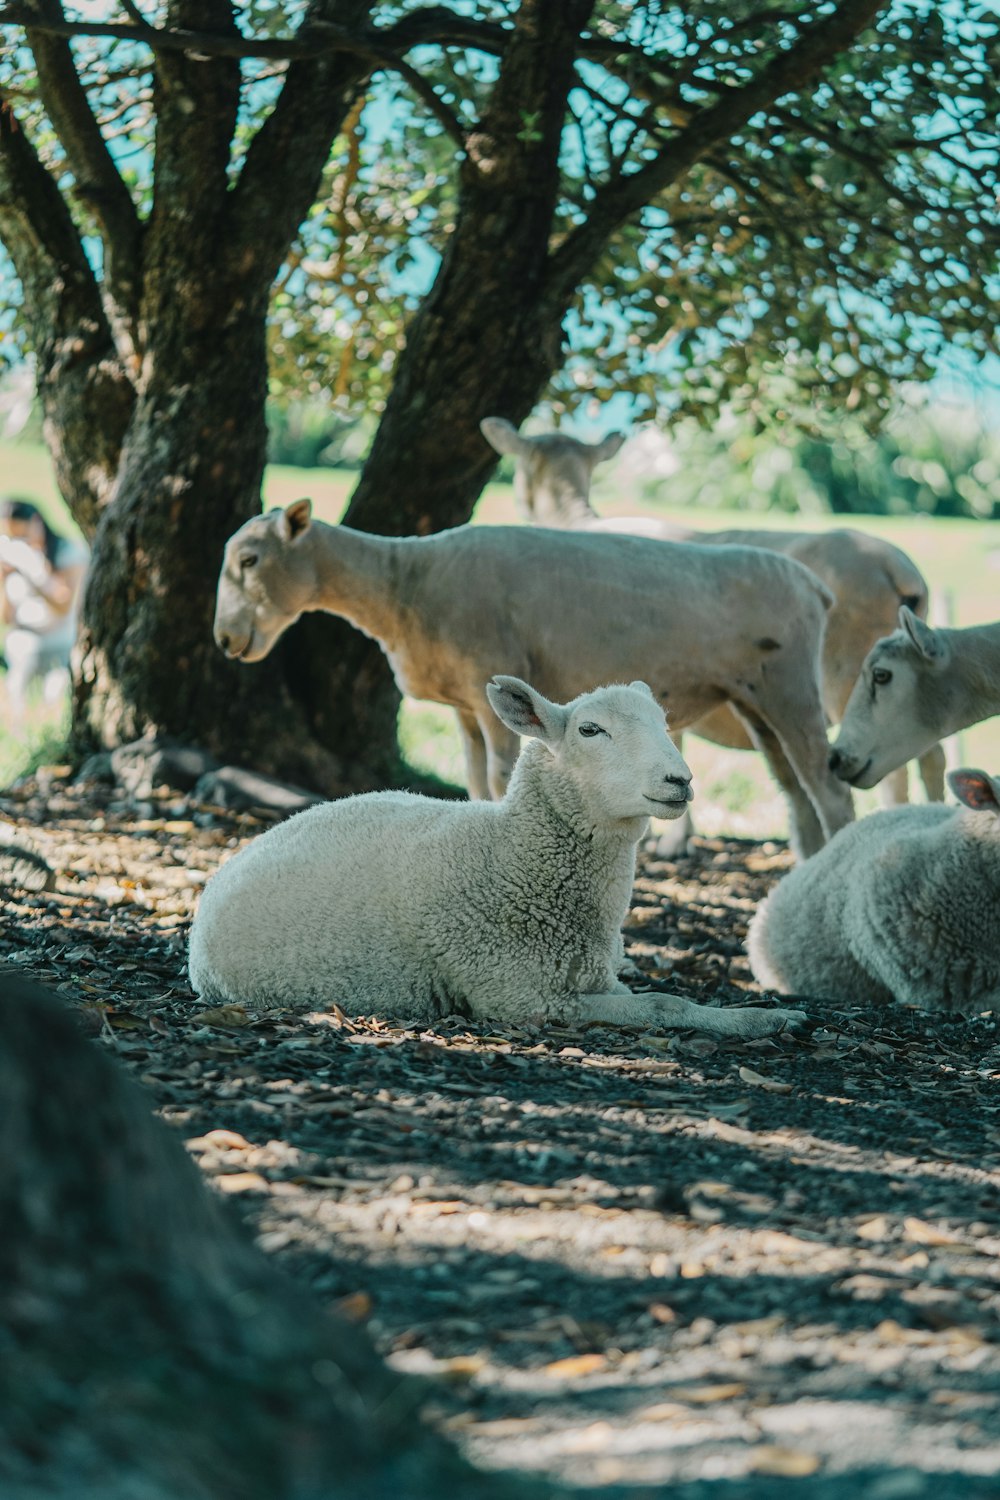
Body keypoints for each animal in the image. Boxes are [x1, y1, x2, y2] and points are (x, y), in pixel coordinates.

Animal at [191, 675, 803, 1038]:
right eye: (590, 729)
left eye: (665, 725)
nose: (680, 780)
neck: (508, 854)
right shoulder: (522, 993)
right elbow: (663, 1007)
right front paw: (757, 1023)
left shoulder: (595, 979)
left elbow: (672, 1001)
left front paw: (765, 1016)